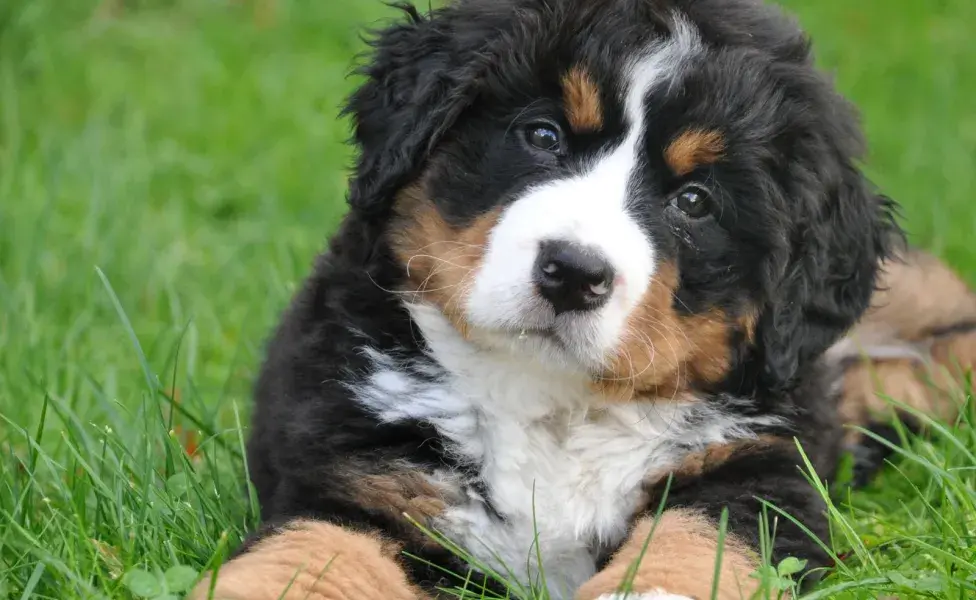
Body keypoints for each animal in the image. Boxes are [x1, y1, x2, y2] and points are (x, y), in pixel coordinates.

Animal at [189, 1, 976, 600]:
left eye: (695, 201)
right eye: (543, 135)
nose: (572, 272)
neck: (554, 403)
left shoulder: (760, 473)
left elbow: (693, 543)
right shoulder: (361, 473)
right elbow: (311, 557)